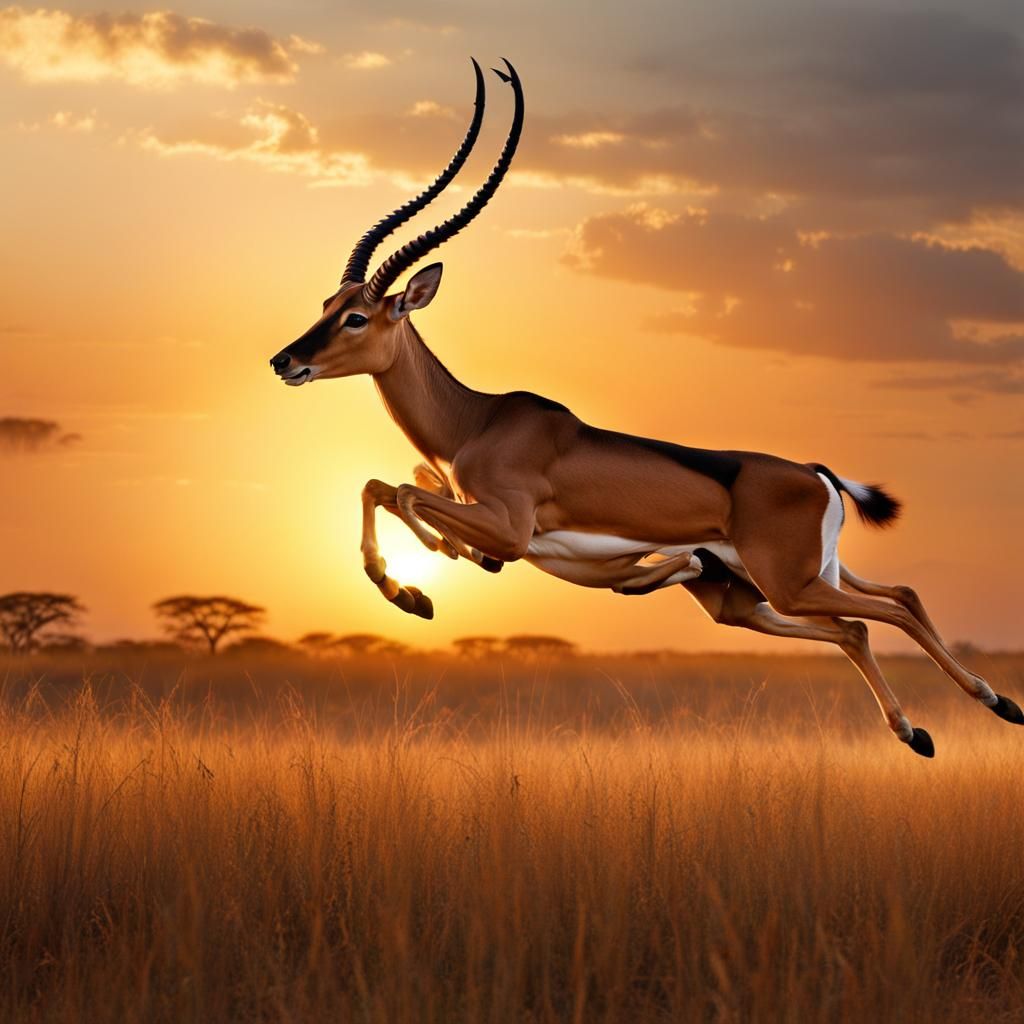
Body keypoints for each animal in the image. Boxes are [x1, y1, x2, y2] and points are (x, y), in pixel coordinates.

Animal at [270, 59, 1022, 757]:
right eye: (328, 304)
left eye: (359, 317)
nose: (286, 361)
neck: (473, 423)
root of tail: (815, 473)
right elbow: (379, 485)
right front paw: (414, 588)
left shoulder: (510, 530)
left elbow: (404, 492)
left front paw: (423, 582)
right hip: (752, 598)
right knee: (873, 614)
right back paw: (929, 728)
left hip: (790, 586)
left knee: (884, 612)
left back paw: (989, 706)